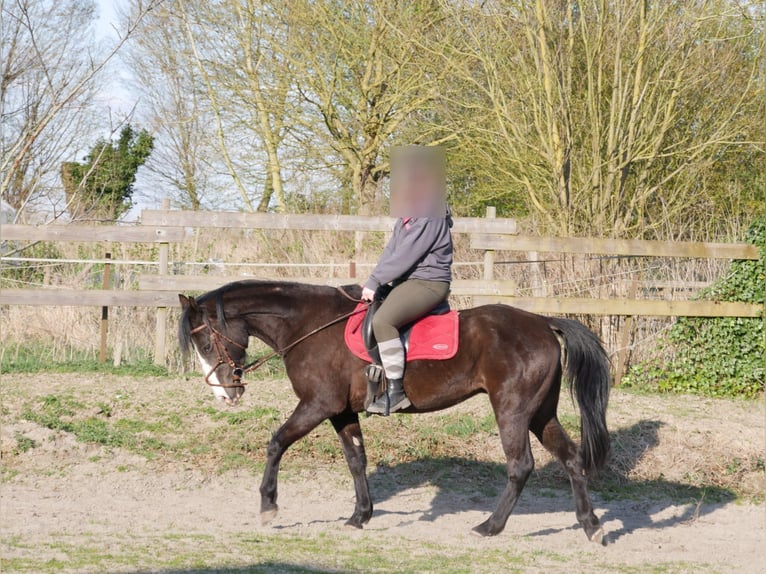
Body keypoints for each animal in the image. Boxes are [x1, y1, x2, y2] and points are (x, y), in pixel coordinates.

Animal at [178, 280, 611, 543]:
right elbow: (356, 460)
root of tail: (542, 322)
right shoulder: (340, 412)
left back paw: (490, 526)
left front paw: (268, 506)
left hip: (513, 411)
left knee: (520, 466)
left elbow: (276, 443)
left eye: (206, 343)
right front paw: (360, 516)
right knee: (571, 458)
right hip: (540, 413)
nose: (224, 395)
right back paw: (591, 525)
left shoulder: (317, 405)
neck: (310, 326)